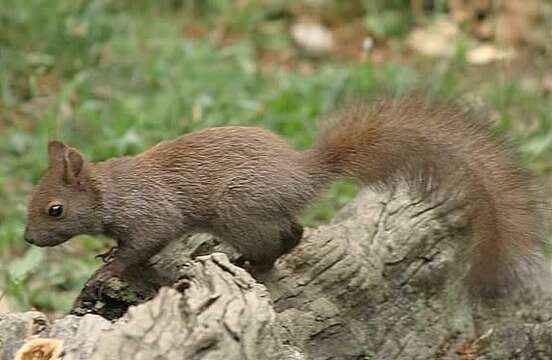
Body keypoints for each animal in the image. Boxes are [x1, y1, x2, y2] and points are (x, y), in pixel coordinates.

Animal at [23, 95, 544, 296]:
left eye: (55, 209)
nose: (28, 239)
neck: (111, 190)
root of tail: (303, 174)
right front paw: (106, 254)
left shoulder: (152, 214)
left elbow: (144, 245)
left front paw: (109, 268)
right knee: (294, 232)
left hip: (237, 208)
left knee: (277, 244)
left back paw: (251, 265)